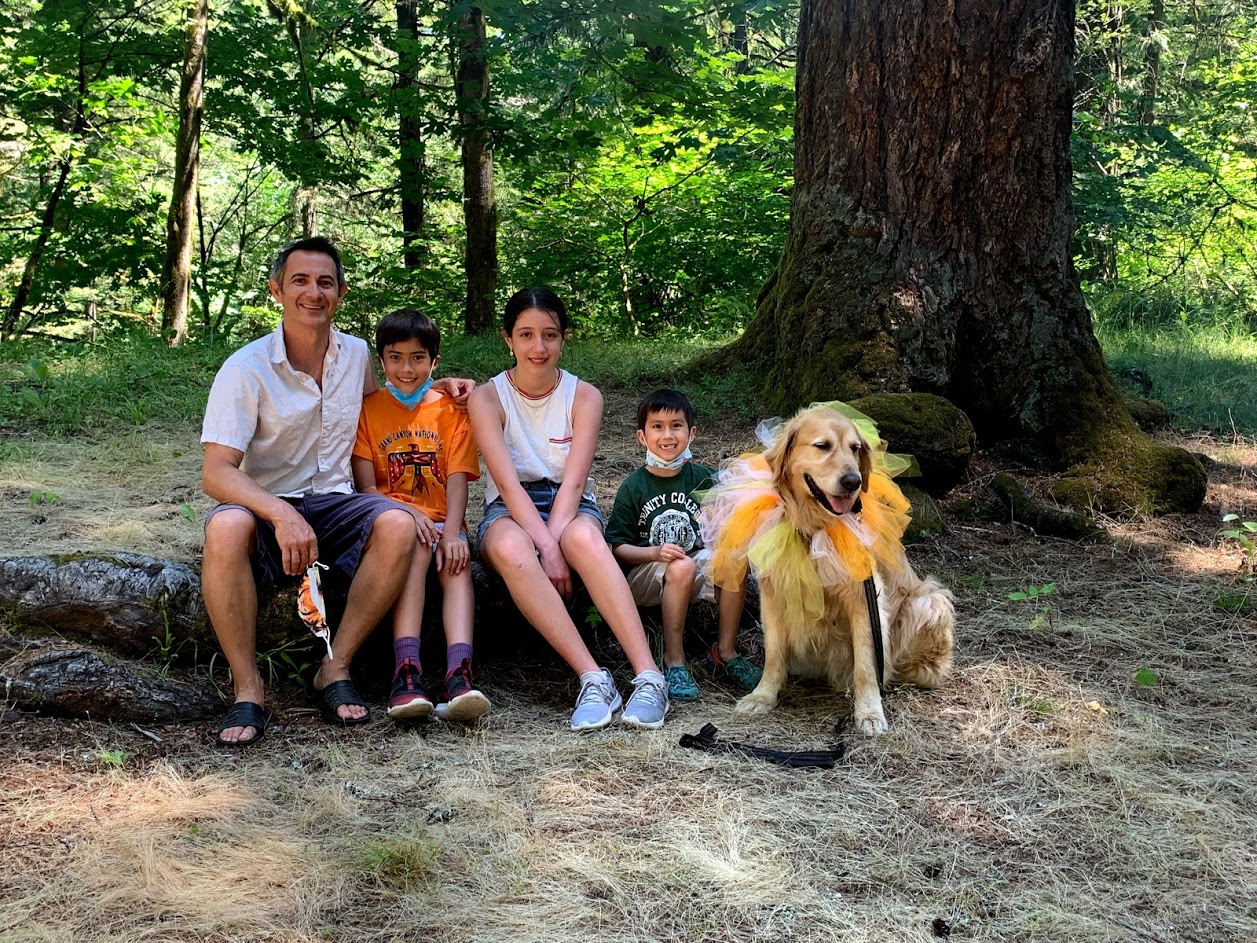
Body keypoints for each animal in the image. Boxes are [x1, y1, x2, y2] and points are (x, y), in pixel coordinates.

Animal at [734, 404, 955, 729]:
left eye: (855, 448)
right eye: (822, 446)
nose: (853, 481)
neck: (816, 531)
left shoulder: (865, 598)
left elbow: (866, 662)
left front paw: (870, 711)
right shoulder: (774, 592)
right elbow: (773, 654)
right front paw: (762, 696)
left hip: (929, 600)